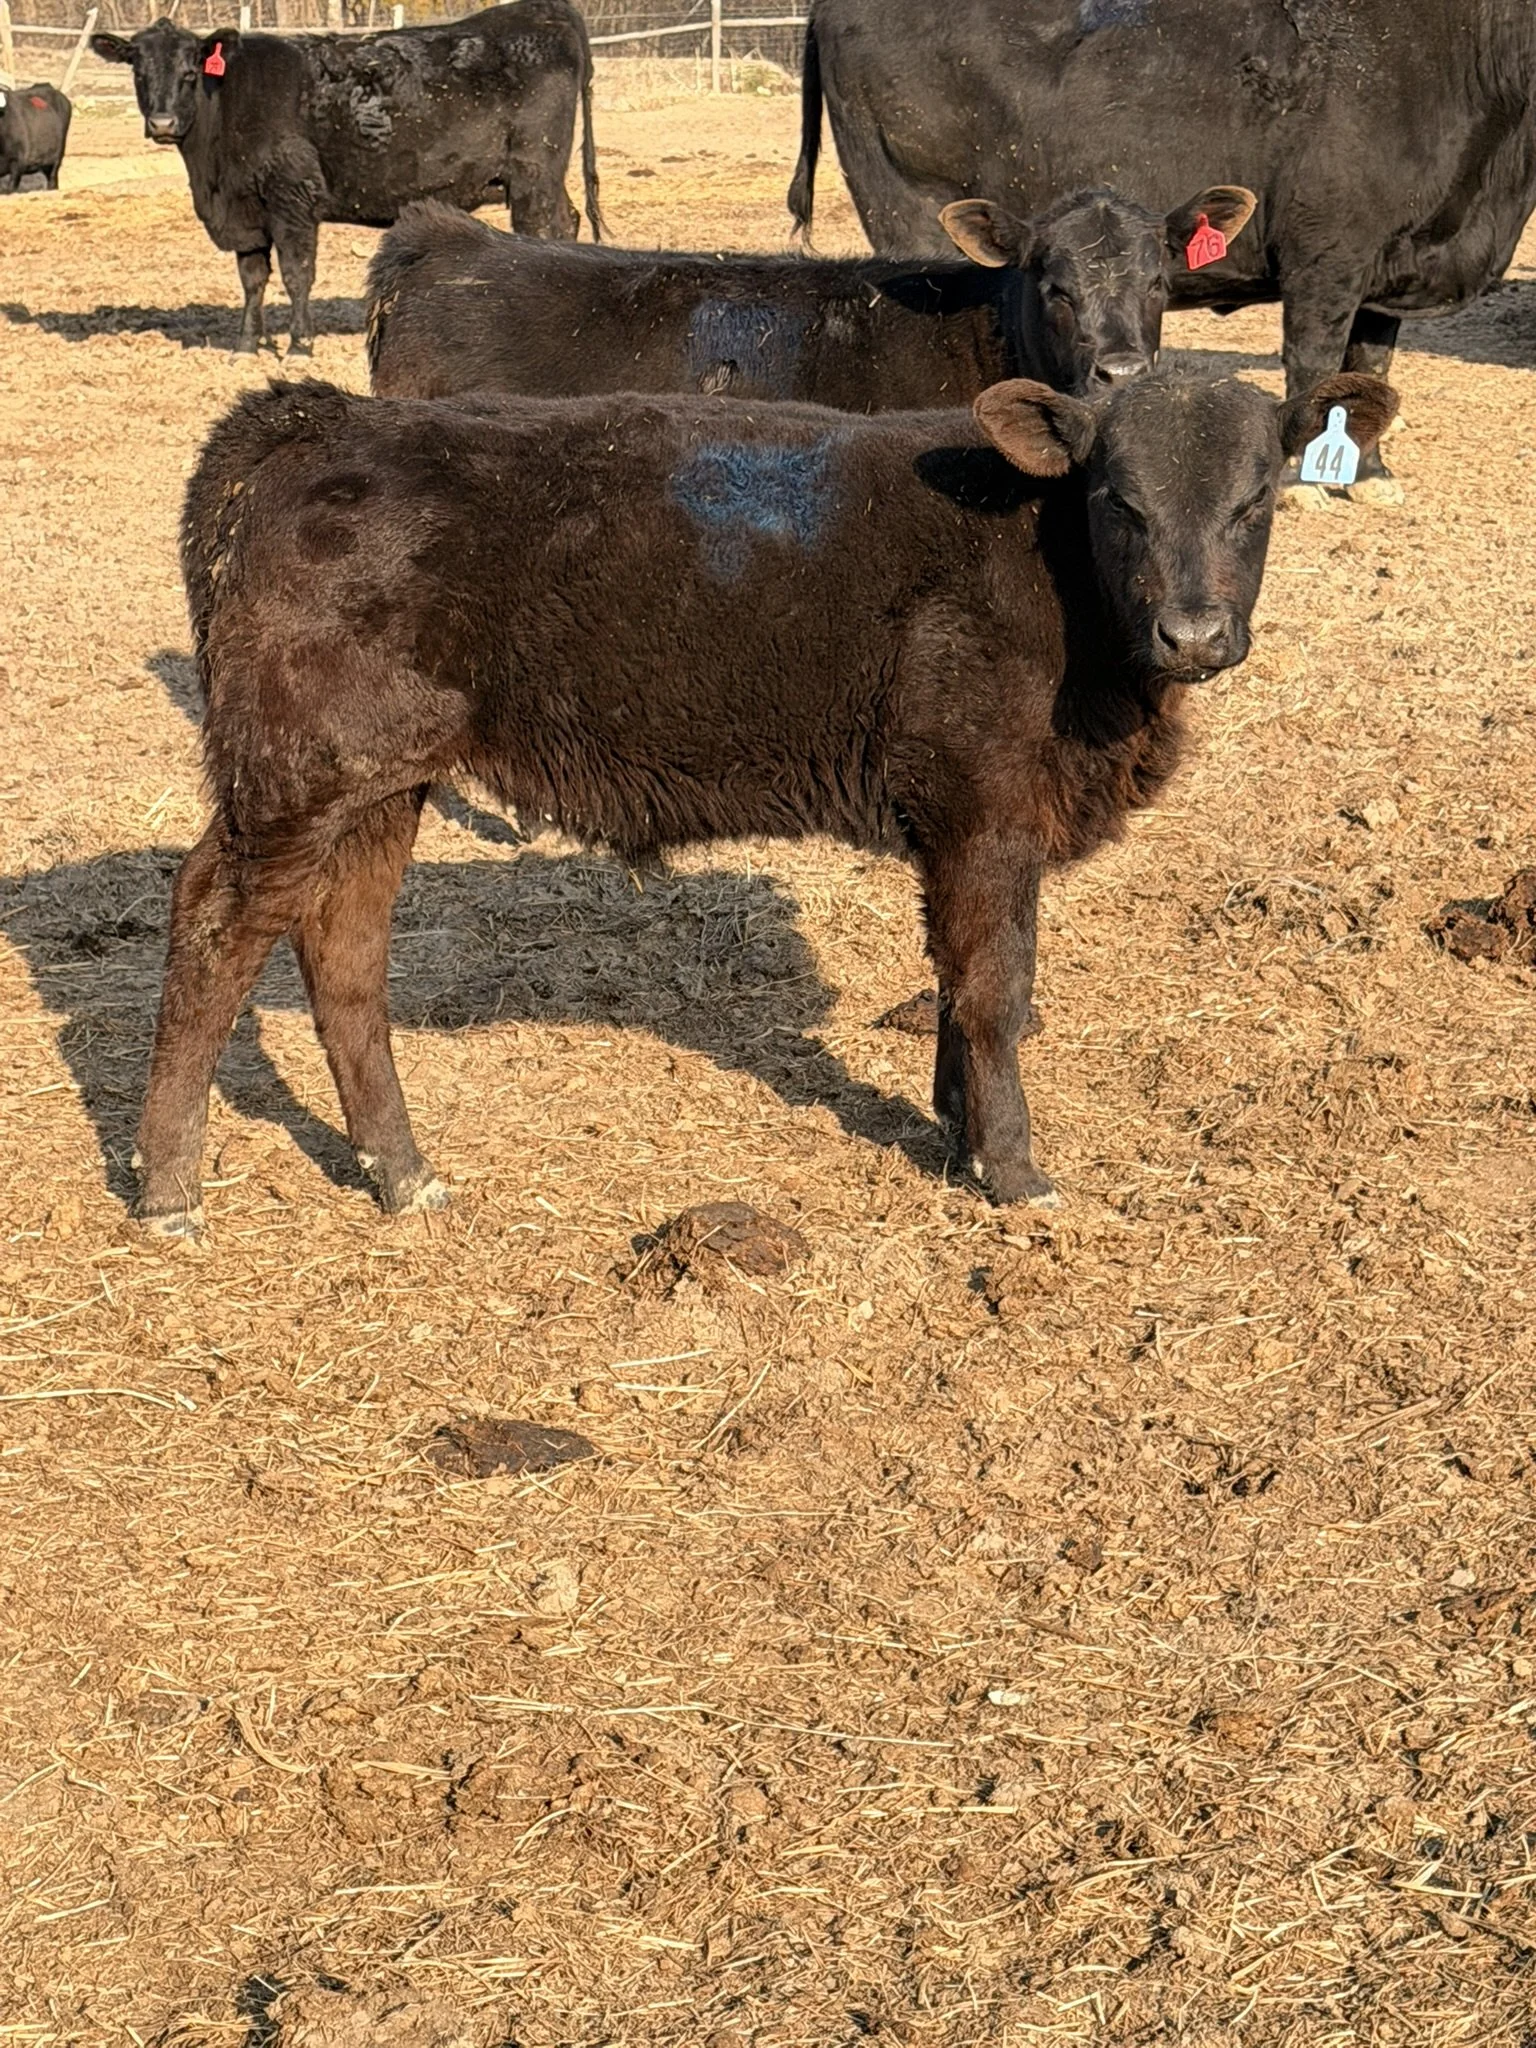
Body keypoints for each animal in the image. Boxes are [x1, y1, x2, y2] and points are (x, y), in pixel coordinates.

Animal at [90, 3, 602, 356]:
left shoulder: (293, 197)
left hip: (534, 176)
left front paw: (300, 345)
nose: (162, 123)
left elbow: (297, 274)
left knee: (545, 231)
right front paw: (246, 345)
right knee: (568, 224)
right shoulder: (245, 211)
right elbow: (252, 279)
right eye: (138, 71)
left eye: (190, 71)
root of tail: (544, 10)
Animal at [132, 366, 1395, 1238]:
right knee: (213, 923)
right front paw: (1018, 1172)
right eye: (1119, 499)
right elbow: (996, 990)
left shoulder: (964, 831)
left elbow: (955, 982)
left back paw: (403, 1174)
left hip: (383, 785)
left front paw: (958, 1136)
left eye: (1256, 501)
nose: (1195, 633)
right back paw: (169, 1189)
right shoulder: (985, 809)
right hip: (296, 777)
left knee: (344, 951)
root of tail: (324, 416)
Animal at [788, 0, 1536, 499]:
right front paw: (1306, 481)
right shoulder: (1327, 255)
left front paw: (1372, 472)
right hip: (907, 214)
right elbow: (1316, 364)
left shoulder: (1394, 262)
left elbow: (1373, 365)